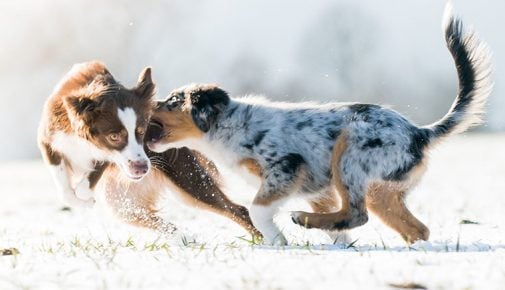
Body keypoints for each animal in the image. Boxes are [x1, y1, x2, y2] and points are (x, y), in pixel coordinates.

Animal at [147, 4, 492, 245]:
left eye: (172, 101)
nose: (149, 103)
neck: (227, 125)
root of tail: (420, 132)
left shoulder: (286, 167)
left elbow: (258, 210)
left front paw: (278, 240)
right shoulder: (316, 189)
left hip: (350, 154)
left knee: (357, 214)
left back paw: (301, 219)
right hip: (380, 190)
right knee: (416, 228)